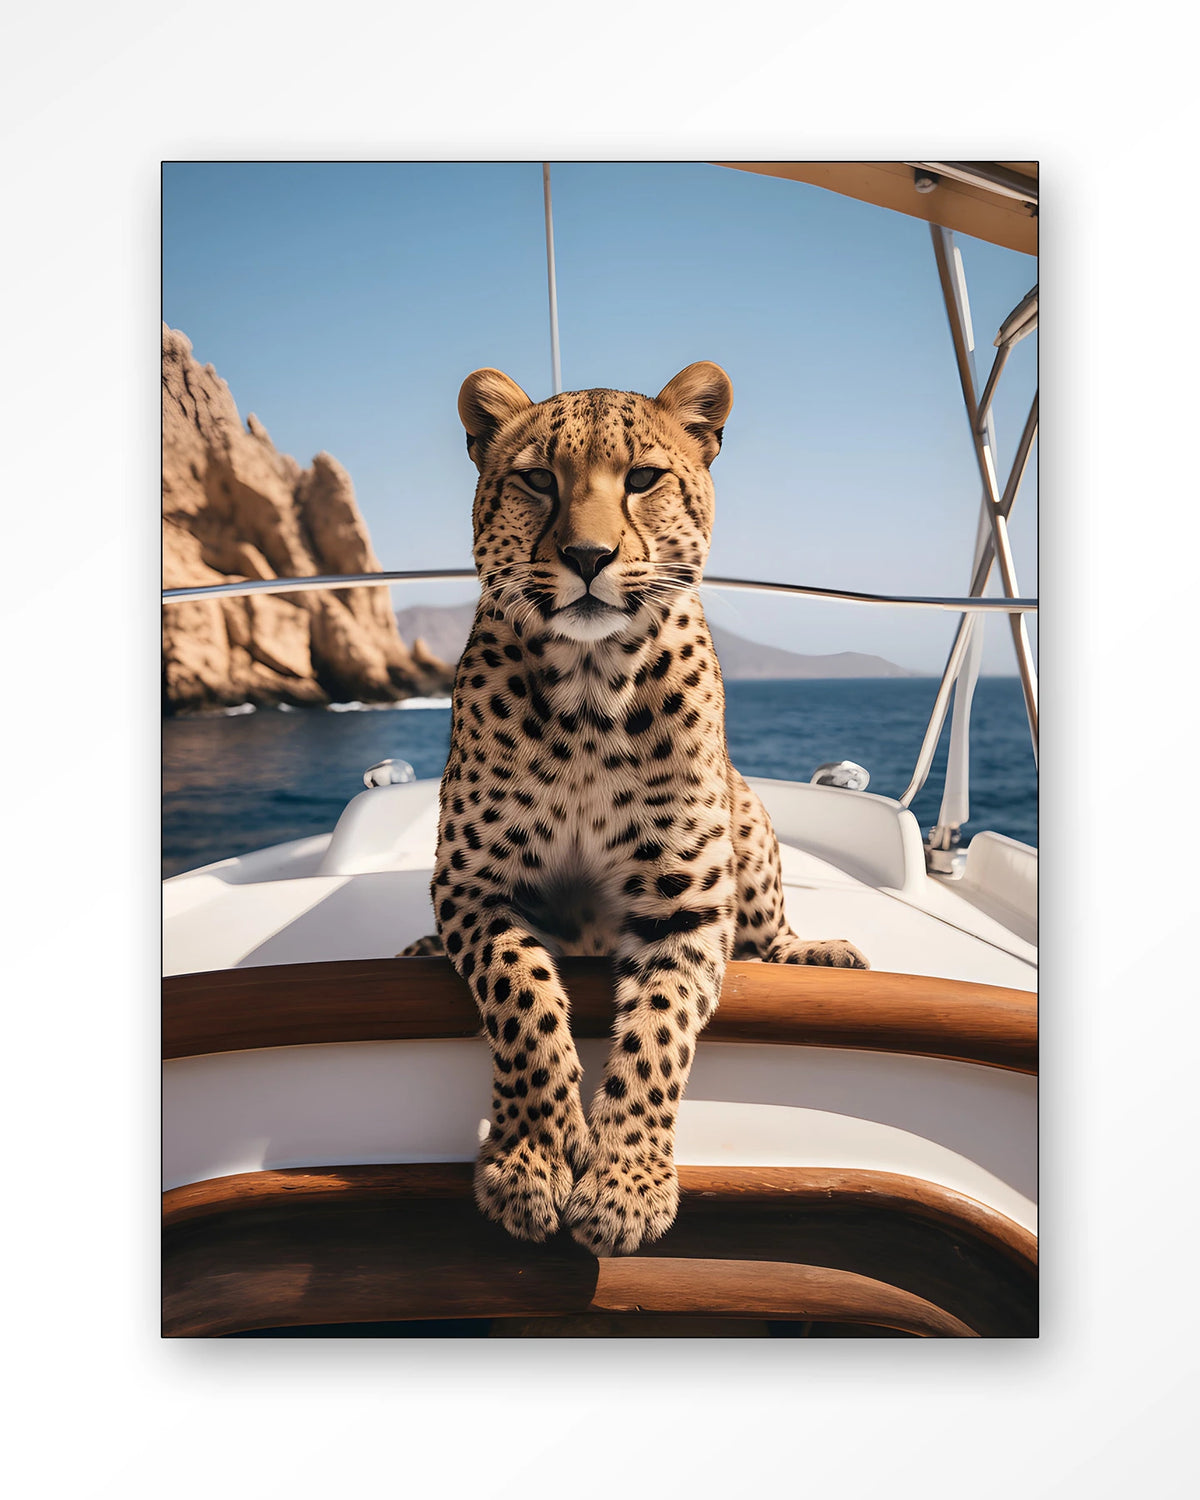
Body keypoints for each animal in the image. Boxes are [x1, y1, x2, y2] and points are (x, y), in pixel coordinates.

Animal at [401, 360, 867, 1257]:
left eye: (644, 478)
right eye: (538, 480)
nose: (588, 556)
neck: (590, 690)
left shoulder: (685, 903)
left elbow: (657, 1035)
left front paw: (625, 1186)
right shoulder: (474, 884)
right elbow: (523, 998)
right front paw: (534, 1158)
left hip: (750, 817)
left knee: (768, 932)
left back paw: (815, 954)